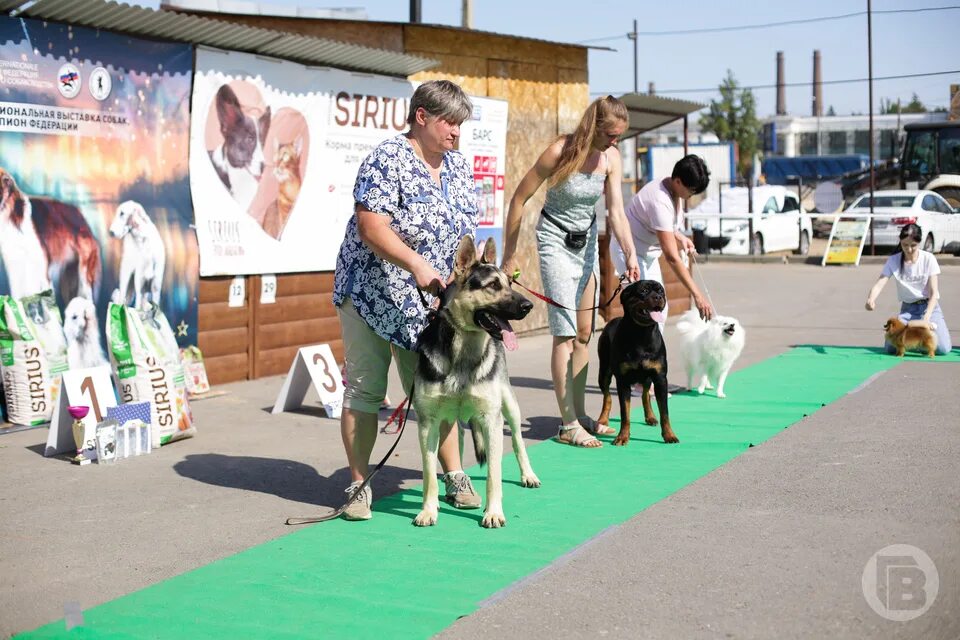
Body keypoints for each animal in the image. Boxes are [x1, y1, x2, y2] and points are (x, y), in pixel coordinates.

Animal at [412, 236, 540, 528]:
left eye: (510, 283)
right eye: (492, 285)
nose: (529, 306)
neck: (463, 354)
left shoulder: (492, 421)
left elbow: (494, 474)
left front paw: (493, 513)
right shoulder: (427, 425)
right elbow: (428, 474)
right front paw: (428, 510)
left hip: (509, 408)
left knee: (518, 442)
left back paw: (528, 475)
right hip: (450, 422)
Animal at [592, 280, 676, 444]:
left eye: (661, 291)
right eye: (643, 291)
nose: (658, 297)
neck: (642, 333)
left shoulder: (660, 378)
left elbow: (665, 412)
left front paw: (669, 435)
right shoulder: (623, 381)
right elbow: (625, 413)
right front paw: (622, 437)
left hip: (647, 377)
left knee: (645, 394)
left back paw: (650, 417)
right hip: (604, 371)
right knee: (607, 396)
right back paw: (603, 419)